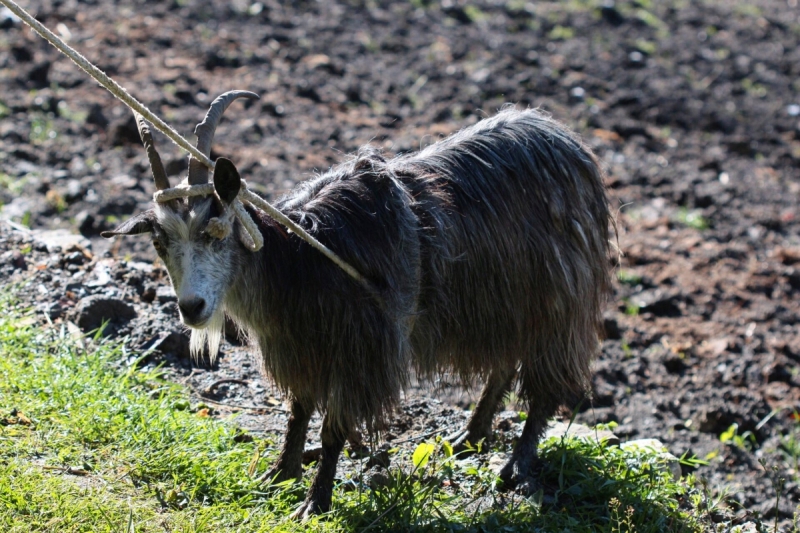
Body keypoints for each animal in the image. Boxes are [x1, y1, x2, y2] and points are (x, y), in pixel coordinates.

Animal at [103, 92, 608, 520]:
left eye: (216, 231)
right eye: (159, 242)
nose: (191, 308)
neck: (302, 261)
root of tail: (564, 139)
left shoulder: (360, 351)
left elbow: (333, 429)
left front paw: (316, 501)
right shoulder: (300, 346)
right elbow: (298, 412)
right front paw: (280, 474)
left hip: (557, 297)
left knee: (545, 381)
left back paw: (517, 467)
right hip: (501, 301)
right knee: (503, 360)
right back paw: (469, 437)